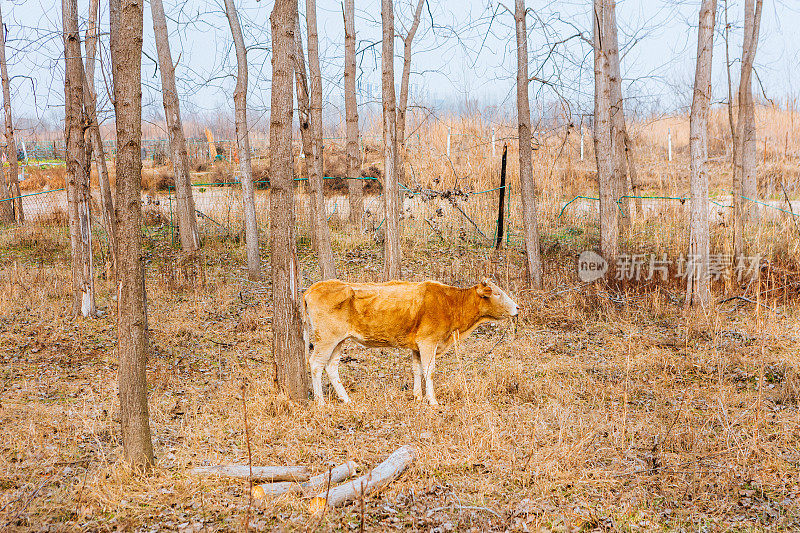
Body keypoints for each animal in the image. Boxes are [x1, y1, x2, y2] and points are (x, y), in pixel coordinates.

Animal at [304, 278, 520, 404]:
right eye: (498, 293)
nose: (517, 307)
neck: (449, 302)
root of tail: (314, 288)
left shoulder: (417, 346)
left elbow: (417, 369)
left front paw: (417, 396)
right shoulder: (428, 342)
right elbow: (429, 371)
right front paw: (432, 401)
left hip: (339, 340)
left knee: (331, 366)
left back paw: (346, 399)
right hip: (326, 339)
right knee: (316, 364)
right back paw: (320, 402)